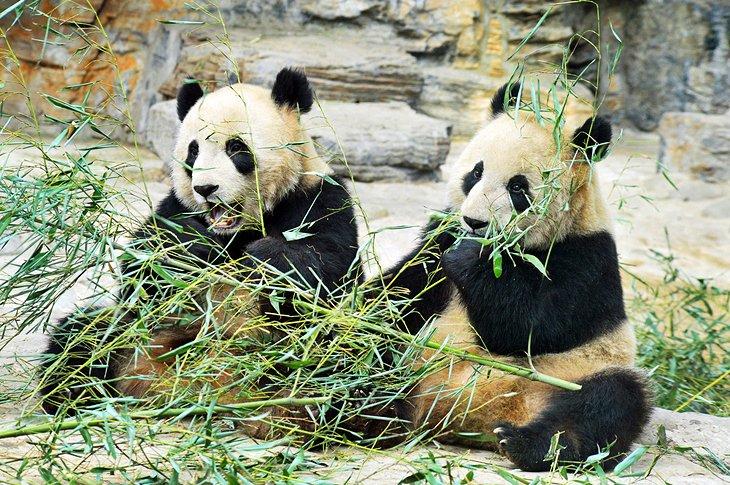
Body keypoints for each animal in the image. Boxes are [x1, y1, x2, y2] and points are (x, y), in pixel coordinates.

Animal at [39, 68, 361, 419]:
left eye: (236, 148)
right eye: (193, 152)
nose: (206, 188)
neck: (239, 229)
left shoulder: (319, 198)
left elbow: (327, 269)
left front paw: (263, 258)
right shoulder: (174, 206)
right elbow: (142, 270)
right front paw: (192, 245)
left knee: (340, 360)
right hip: (132, 336)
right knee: (82, 337)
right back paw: (73, 395)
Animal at [380, 82, 652, 471]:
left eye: (518, 188)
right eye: (475, 173)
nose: (475, 223)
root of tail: (464, 415)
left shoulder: (587, 256)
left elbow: (531, 327)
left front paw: (471, 257)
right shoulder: (440, 236)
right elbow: (403, 289)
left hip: (576, 374)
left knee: (608, 404)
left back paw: (527, 444)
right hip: (414, 361)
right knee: (381, 358)